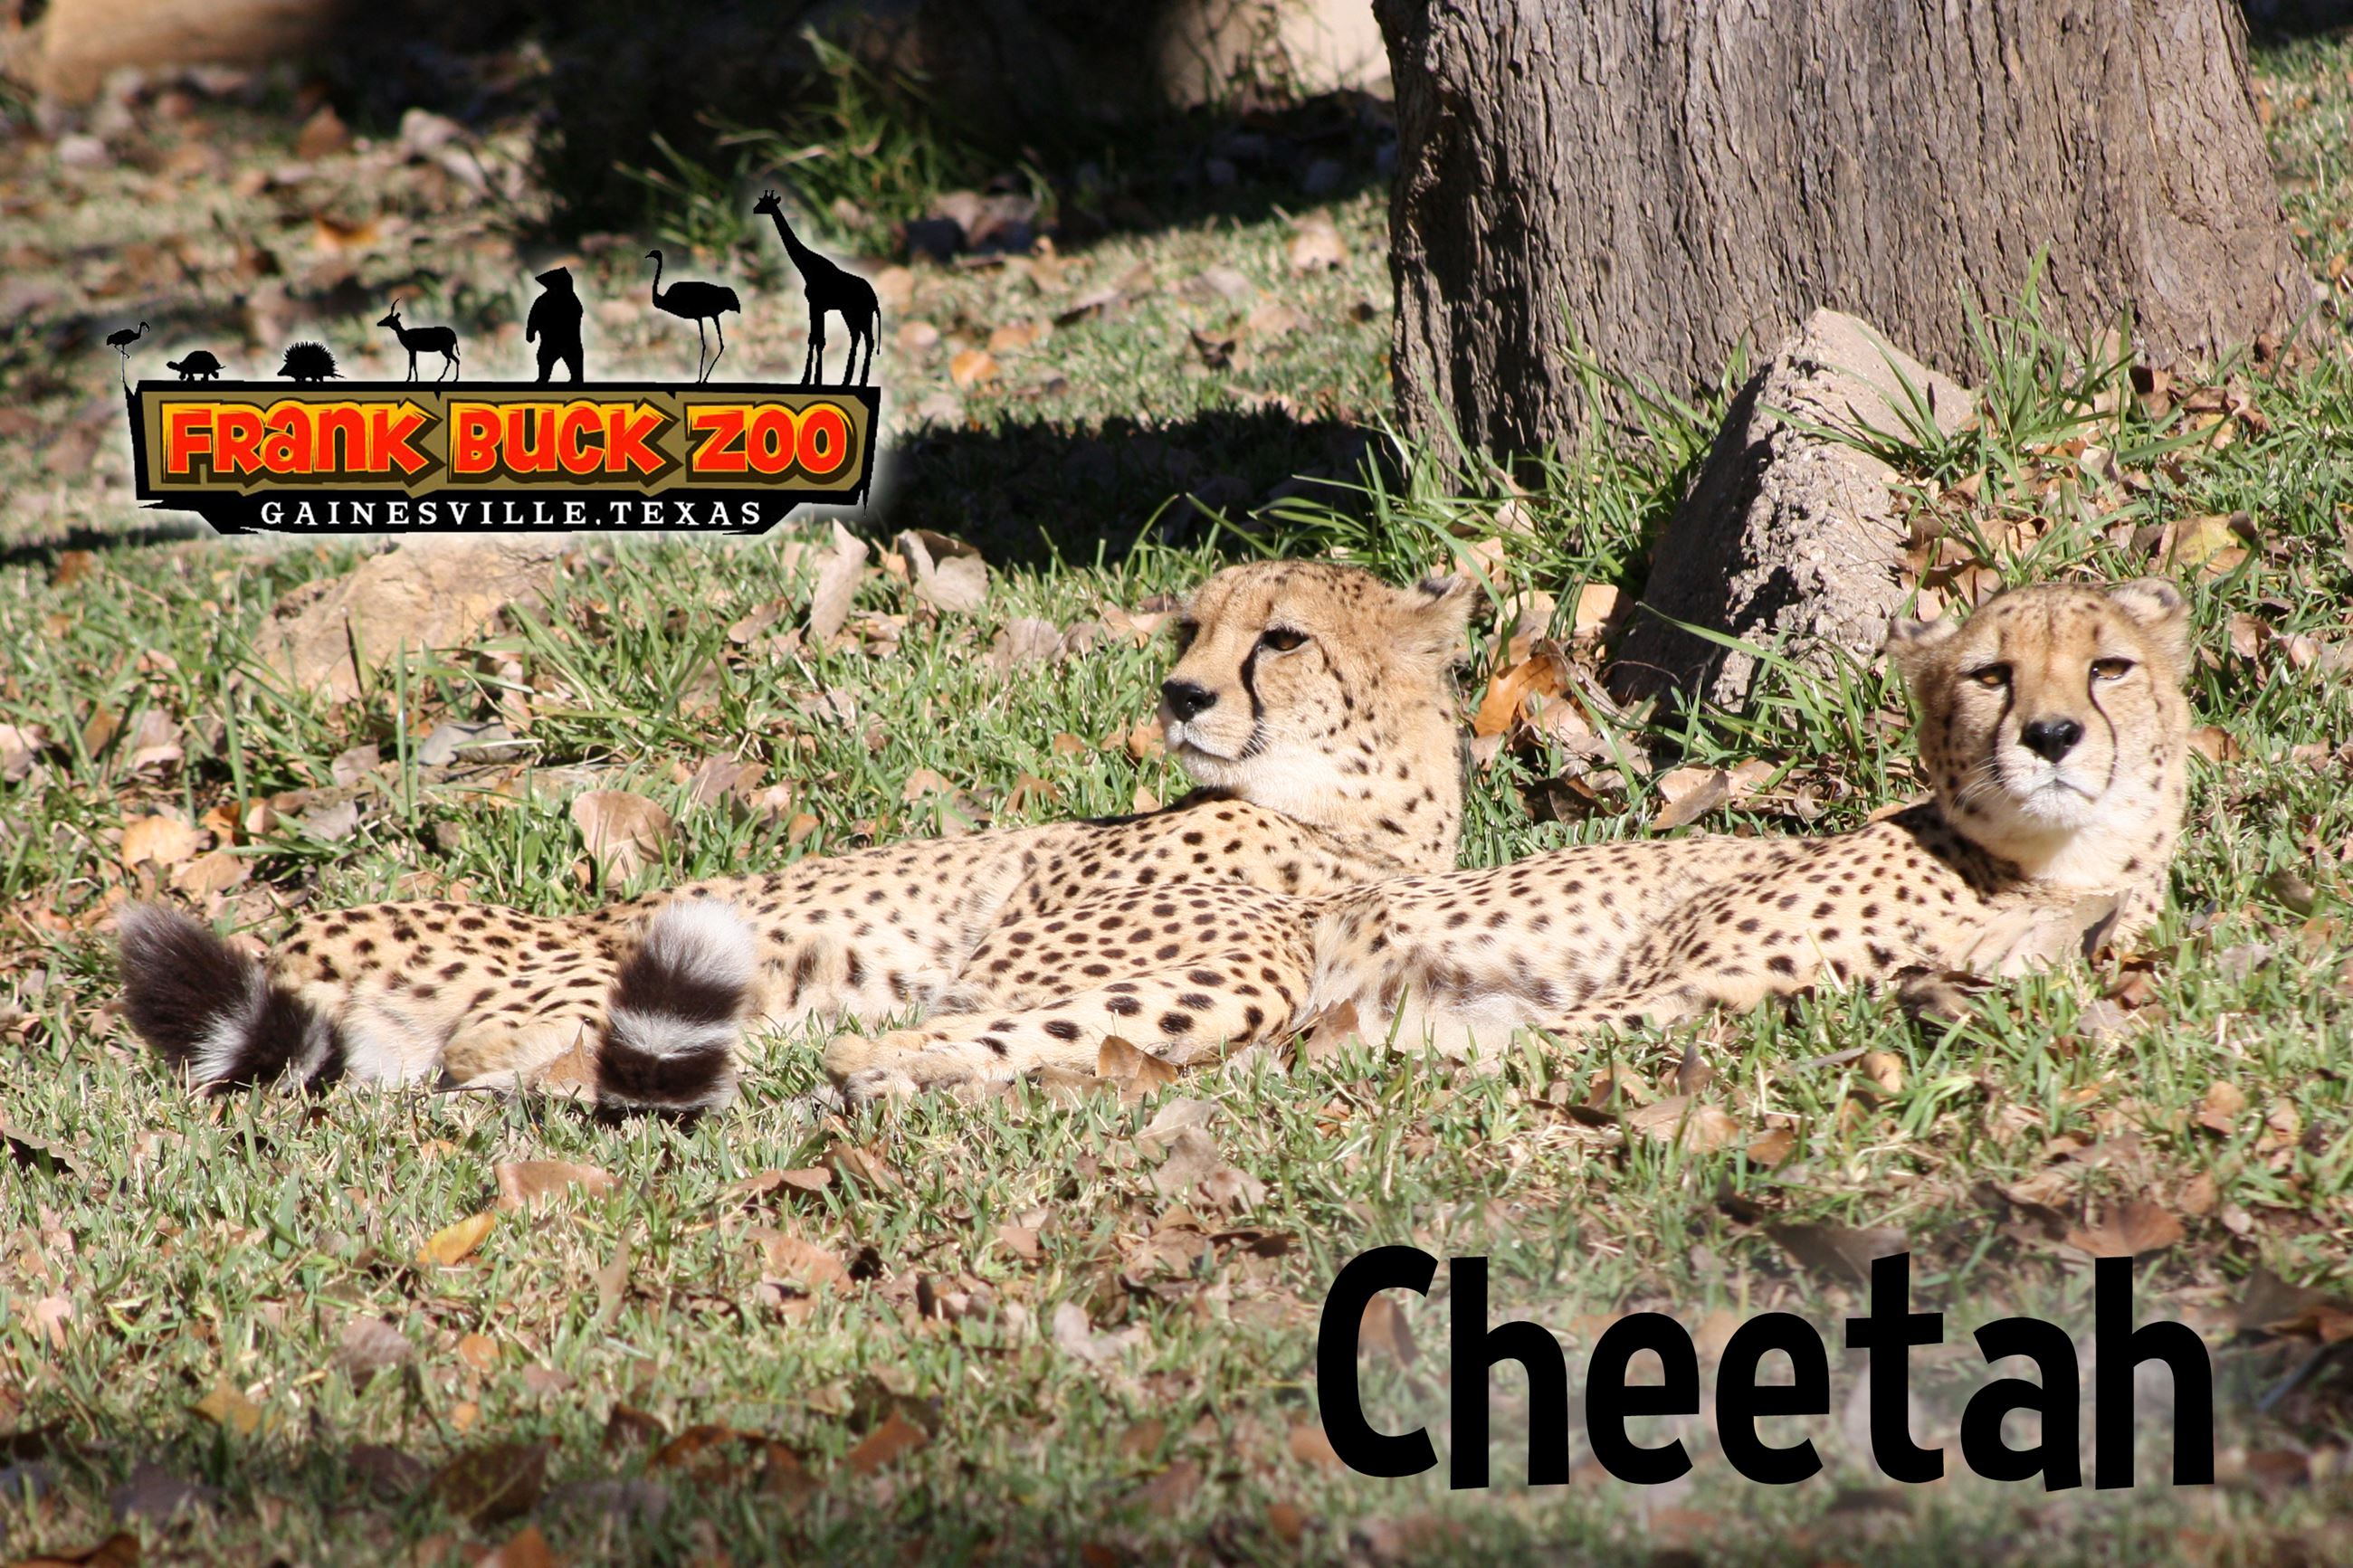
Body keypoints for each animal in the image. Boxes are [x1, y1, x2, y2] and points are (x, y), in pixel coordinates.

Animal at [117, 560, 1478, 1114]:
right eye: (1193, 626)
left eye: (1282, 637)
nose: (1181, 694)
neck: (1359, 821)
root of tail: (303, 926)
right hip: (610, 949)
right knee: (497, 1043)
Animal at [824, 576, 2192, 1100]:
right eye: (1990, 673)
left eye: (2109, 667)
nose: (2056, 735)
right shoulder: (1663, 982)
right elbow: (1558, 1026)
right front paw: (1412, 1034)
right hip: (1244, 959)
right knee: (912, 1037)